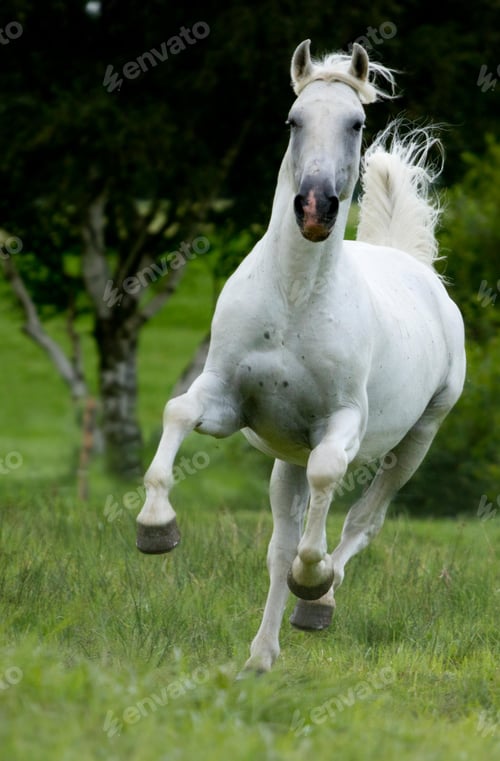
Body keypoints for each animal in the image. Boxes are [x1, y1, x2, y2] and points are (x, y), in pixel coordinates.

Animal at [136, 40, 466, 673]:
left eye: (356, 123)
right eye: (293, 121)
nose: (315, 208)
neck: (293, 297)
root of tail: (415, 268)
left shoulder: (341, 423)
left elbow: (329, 477)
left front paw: (312, 582)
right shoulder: (228, 401)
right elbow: (178, 412)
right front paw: (155, 527)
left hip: (416, 441)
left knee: (362, 521)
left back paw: (319, 603)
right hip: (284, 457)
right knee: (280, 544)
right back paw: (260, 658)